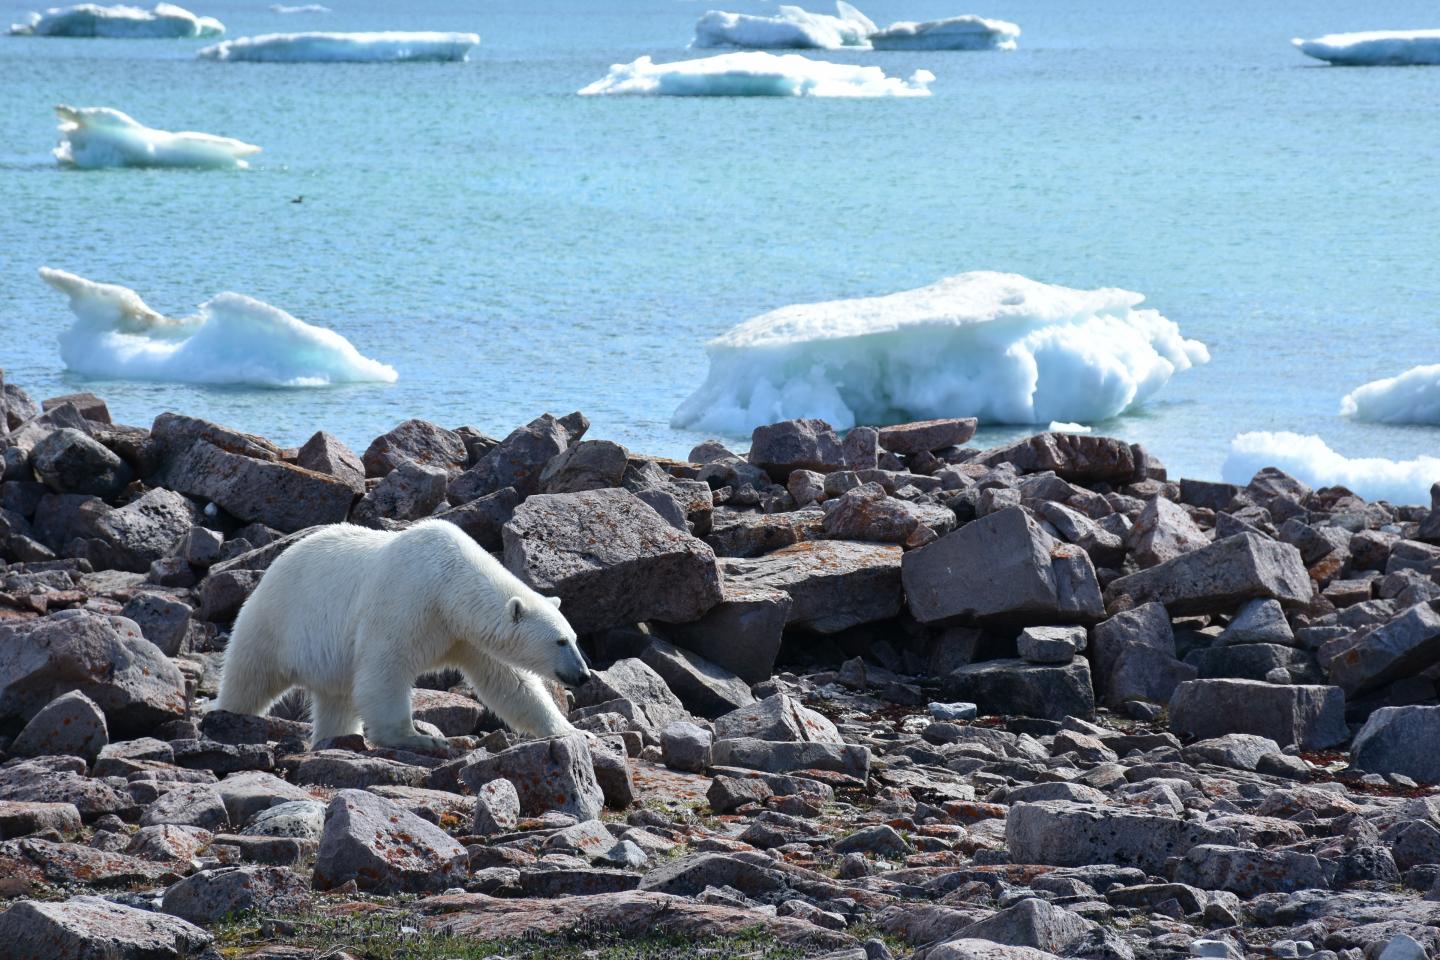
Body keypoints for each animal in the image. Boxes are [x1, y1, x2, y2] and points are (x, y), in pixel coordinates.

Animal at [214, 518, 591, 751]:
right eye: (560, 641)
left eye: (575, 638)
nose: (584, 675)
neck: (449, 583)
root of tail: (274, 565)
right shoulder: (407, 601)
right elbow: (385, 670)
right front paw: (420, 738)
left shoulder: (465, 636)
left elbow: (512, 684)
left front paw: (575, 731)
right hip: (275, 621)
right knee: (248, 677)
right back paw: (229, 716)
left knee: (337, 699)